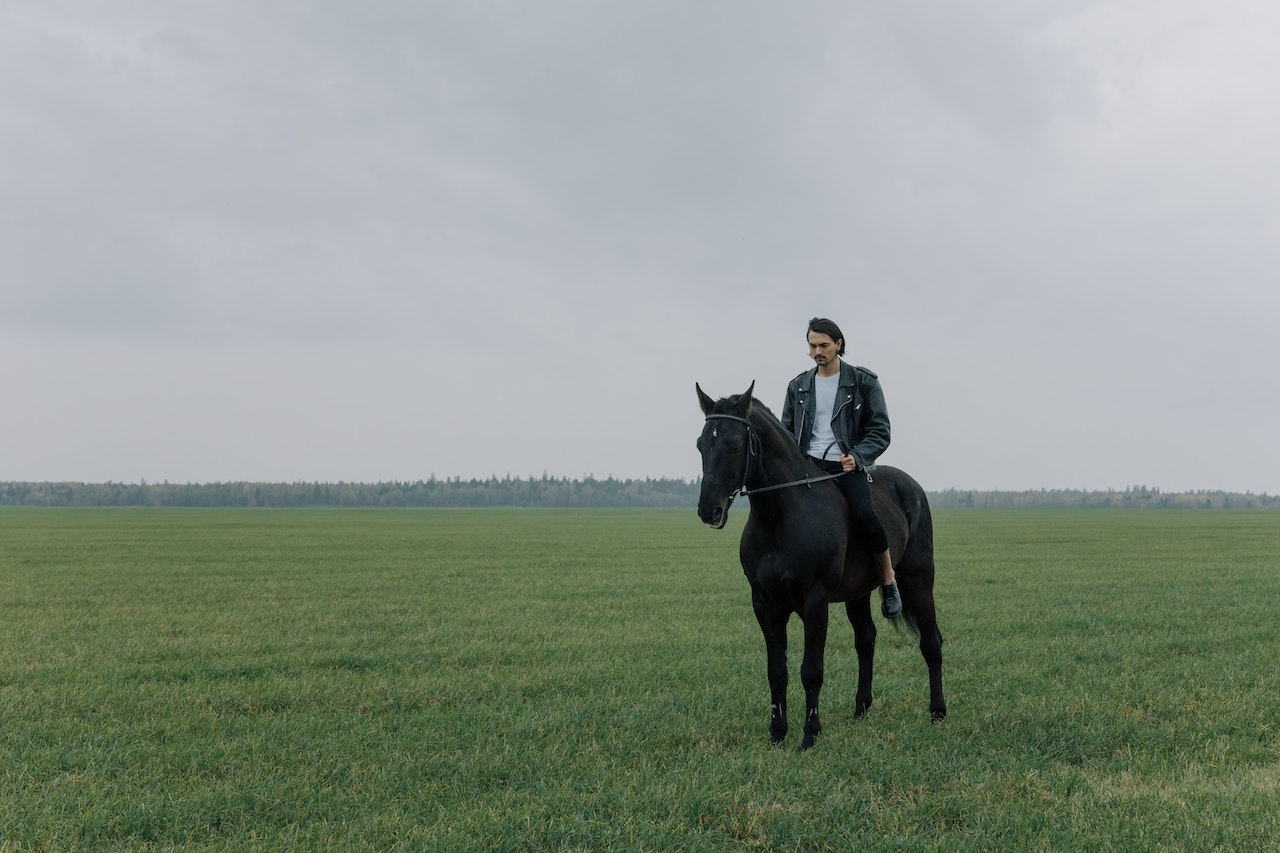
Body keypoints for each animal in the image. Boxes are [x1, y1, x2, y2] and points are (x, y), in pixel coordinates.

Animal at [696, 381, 947, 747]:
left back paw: (938, 712)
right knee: (866, 640)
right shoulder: (765, 604)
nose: (708, 510)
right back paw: (861, 709)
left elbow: (811, 671)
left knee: (931, 642)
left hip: (918, 578)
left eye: (734, 443)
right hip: (858, 594)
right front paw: (777, 733)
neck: (780, 518)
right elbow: (777, 671)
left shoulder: (814, 603)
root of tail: (911, 486)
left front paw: (809, 734)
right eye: (701, 443)